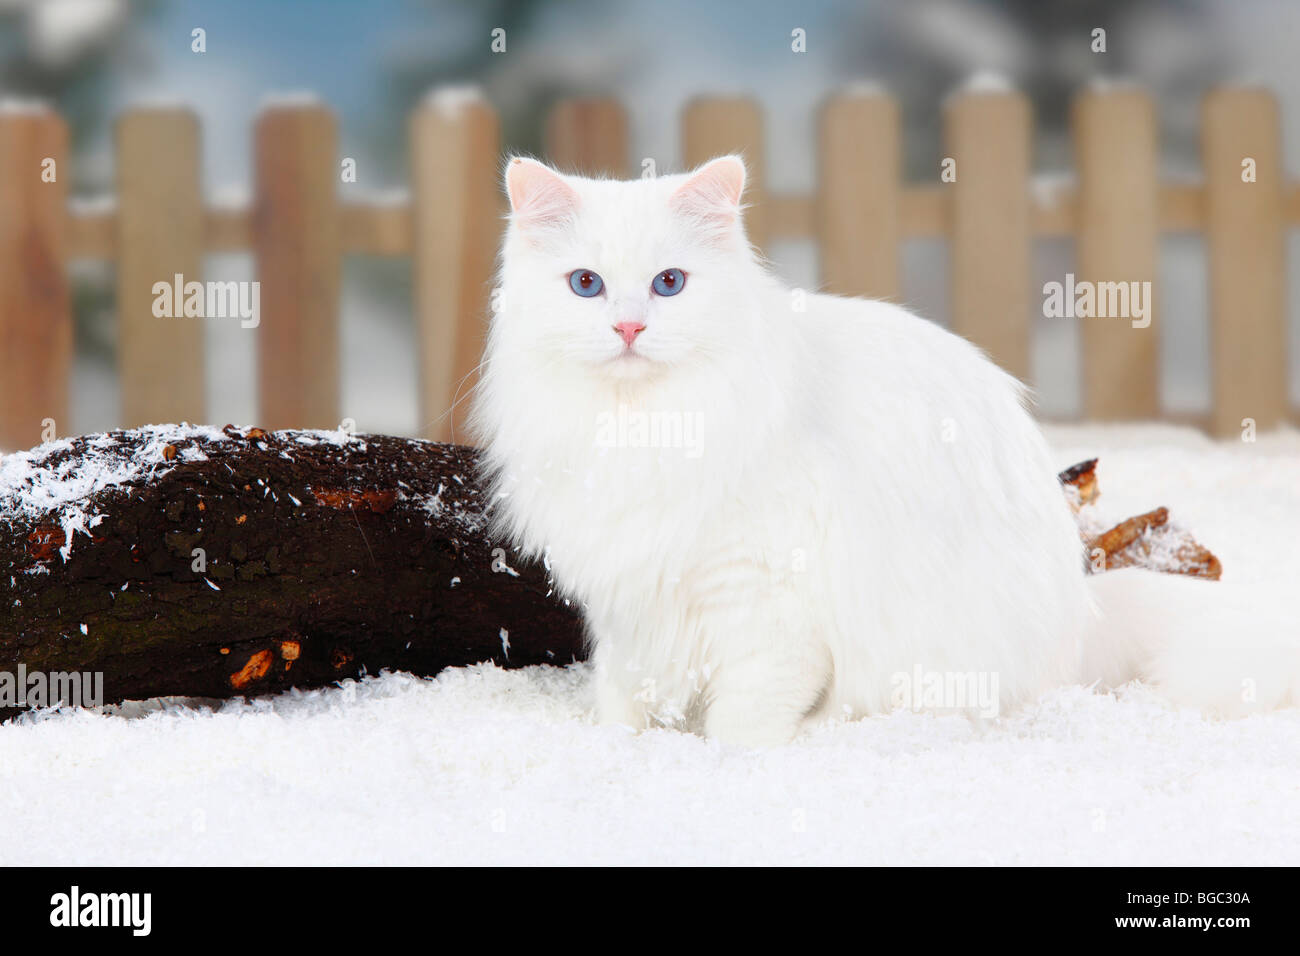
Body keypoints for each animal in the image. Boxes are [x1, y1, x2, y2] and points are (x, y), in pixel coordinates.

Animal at [470, 153, 1300, 749]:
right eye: (586, 285)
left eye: (669, 284)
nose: (629, 328)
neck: (643, 428)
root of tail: (1086, 609)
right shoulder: (627, 606)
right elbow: (622, 697)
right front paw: (618, 749)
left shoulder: (764, 604)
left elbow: (745, 713)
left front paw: (729, 764)